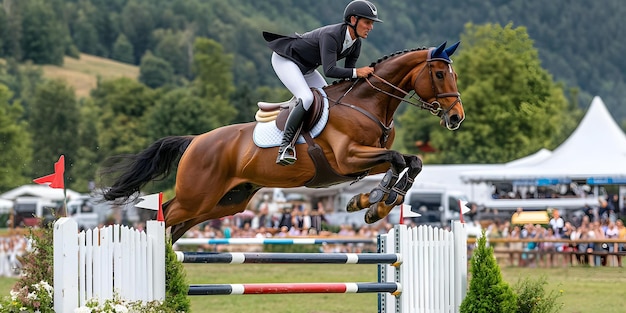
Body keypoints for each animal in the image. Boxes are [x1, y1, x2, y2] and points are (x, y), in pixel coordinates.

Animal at [101, 41, 464, 241]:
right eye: (439, 74)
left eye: (454, 75)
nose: (456, 118)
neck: (368, 104)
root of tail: (195, 141)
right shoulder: (348, 158)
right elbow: (398, 158)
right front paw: (373, 201)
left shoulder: (364, 161)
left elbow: (411, 161)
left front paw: (376, 203)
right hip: (198, 194)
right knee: (163, 214)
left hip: (227, 201)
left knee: (178, 225)